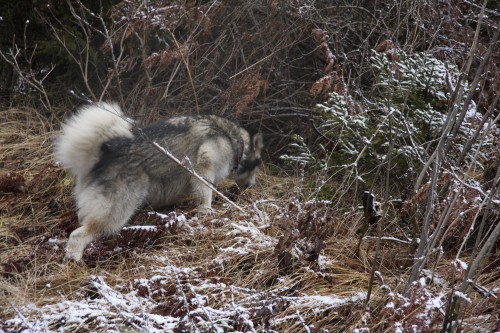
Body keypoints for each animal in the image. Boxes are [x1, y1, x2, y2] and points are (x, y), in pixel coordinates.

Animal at [55, 102, 264, 260]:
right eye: (258, 164)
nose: (252, 186)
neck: (235, 142)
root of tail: (103, 155)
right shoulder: (204, 166)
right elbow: (206, 195)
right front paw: (207, 212)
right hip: (113, 214)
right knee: (78, 235)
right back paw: (74, 260)